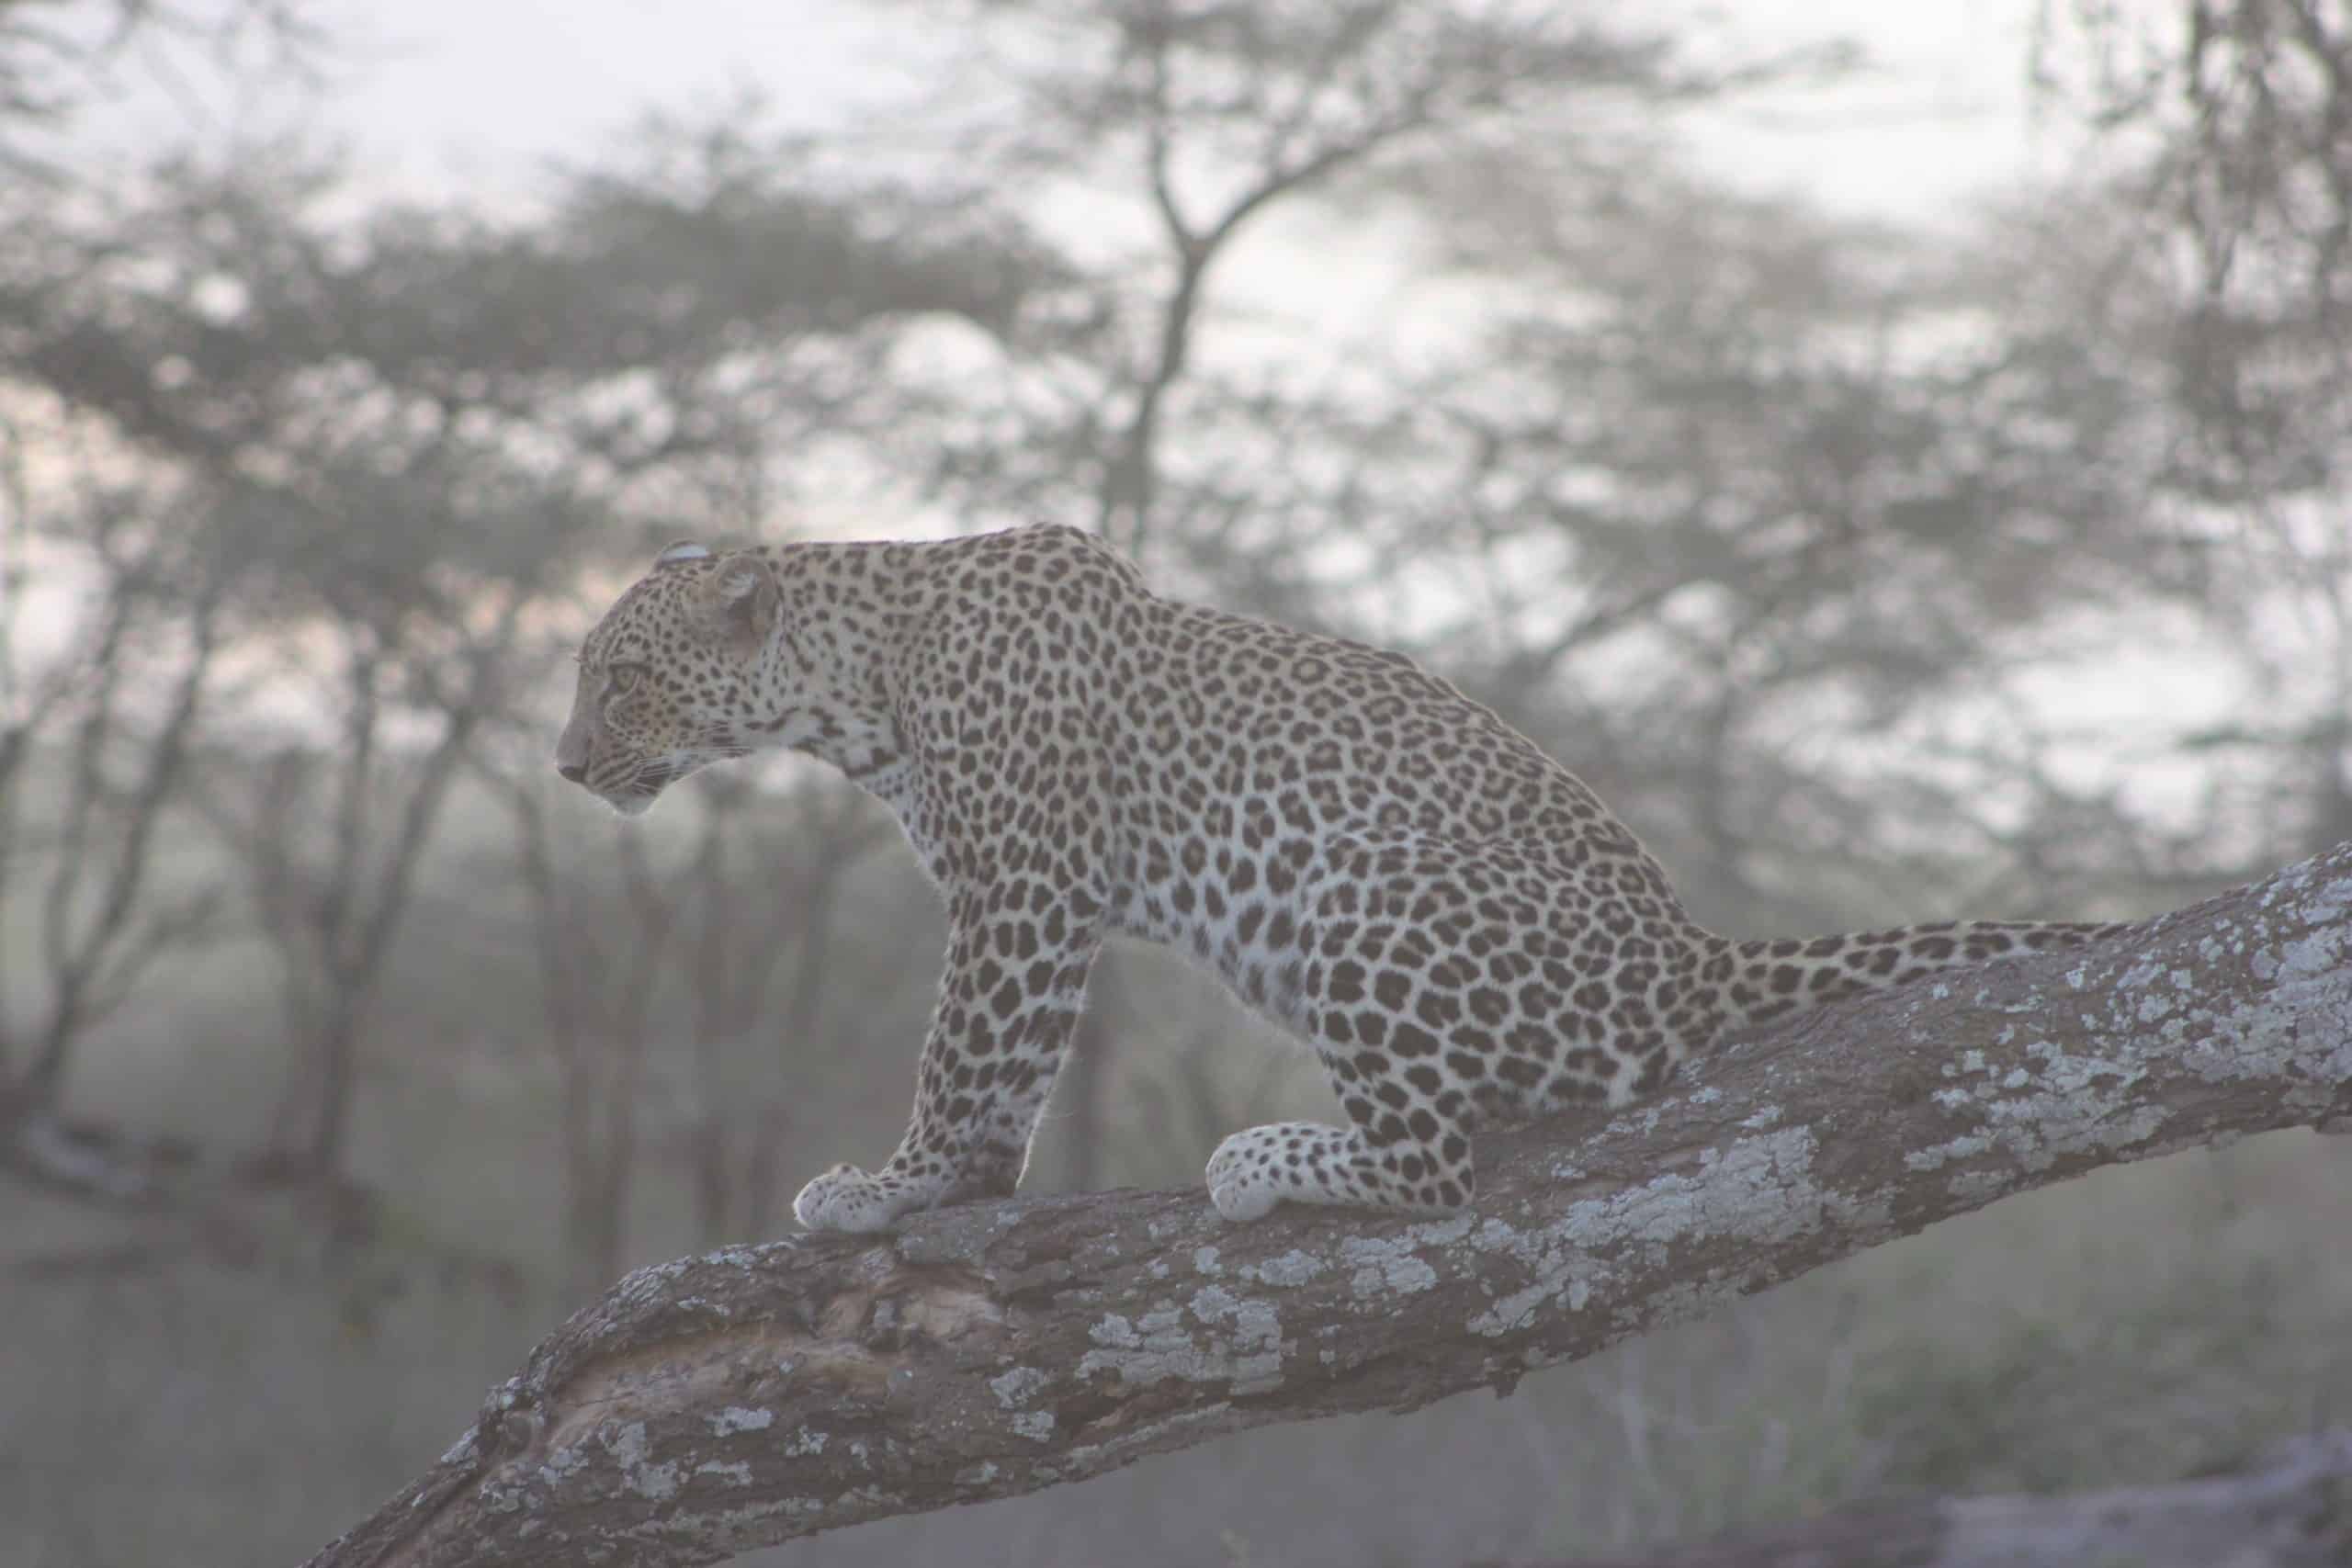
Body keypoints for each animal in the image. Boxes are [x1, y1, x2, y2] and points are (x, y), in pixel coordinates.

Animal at [556, 522, 2127, 1231]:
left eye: (621, 681)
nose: (565, 765)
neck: (860, 684)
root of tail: (1697, 952)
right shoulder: (1041, 902)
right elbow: (1009, 1069)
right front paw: (962, 1186)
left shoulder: (1021, 888)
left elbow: (961, 1051)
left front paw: (889, 1186)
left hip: (1366, 889)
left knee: (1433, 1167)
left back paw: (1259, 1159)